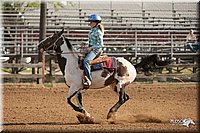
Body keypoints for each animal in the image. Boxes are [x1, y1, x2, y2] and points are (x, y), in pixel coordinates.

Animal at [38, 28, 172, 123]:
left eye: (51, 37)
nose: (39, 45)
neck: (72, 62)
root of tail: (132, 65)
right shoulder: (78, 89)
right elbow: (79, 102)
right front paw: (87, 117)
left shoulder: (74, 87)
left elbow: (69, 101)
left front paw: (82, 113)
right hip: (114, 86)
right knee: (125, 98)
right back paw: (112, 114)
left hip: (121, 84)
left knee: (122, 99)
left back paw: (110, 114)